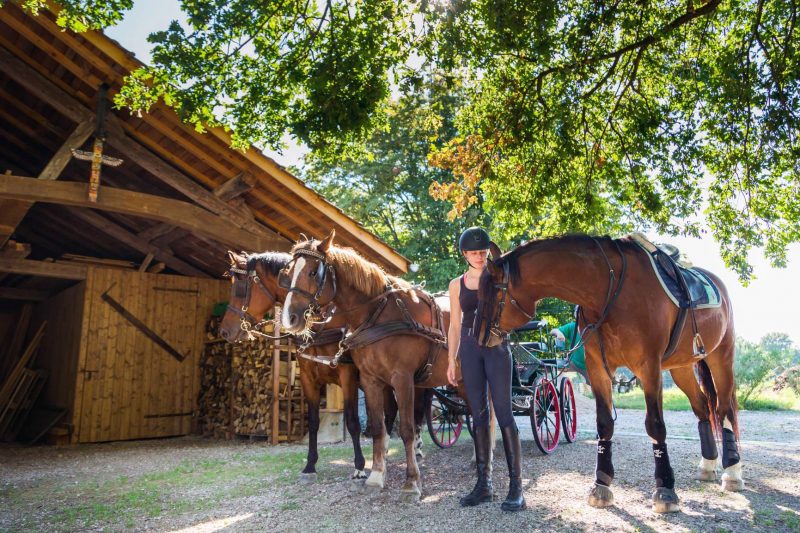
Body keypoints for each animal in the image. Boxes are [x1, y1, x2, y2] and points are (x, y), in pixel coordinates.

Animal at [217, 251, 418, 480]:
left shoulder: (347, 375)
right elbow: (312, 422)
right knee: (391, 409)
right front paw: (310, 465)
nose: (224, 331)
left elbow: (352, 421)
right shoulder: (307, 376)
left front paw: (359, 466)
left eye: (240, 287)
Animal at [280, 231, 456, 500]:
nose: (289, 318)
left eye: (312, 273)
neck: (378, 314)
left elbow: (404, 428)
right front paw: (376, 475)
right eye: (288, 273)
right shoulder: (371, 380)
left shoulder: (400, 378)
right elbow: (377, 427)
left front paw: (411, 481)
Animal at [476, 235, 744, 512]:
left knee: (724, 410)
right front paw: (601, 484)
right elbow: (604, 424)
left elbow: (655, 425)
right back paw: (708, 464)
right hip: (681, 367)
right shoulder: (598, 369)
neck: (608, 291)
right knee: (702, 407)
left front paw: (665, 488)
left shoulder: (649, 367)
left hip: (721, 357)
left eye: (492, 293)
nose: (479, 338)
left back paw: (732, 472)